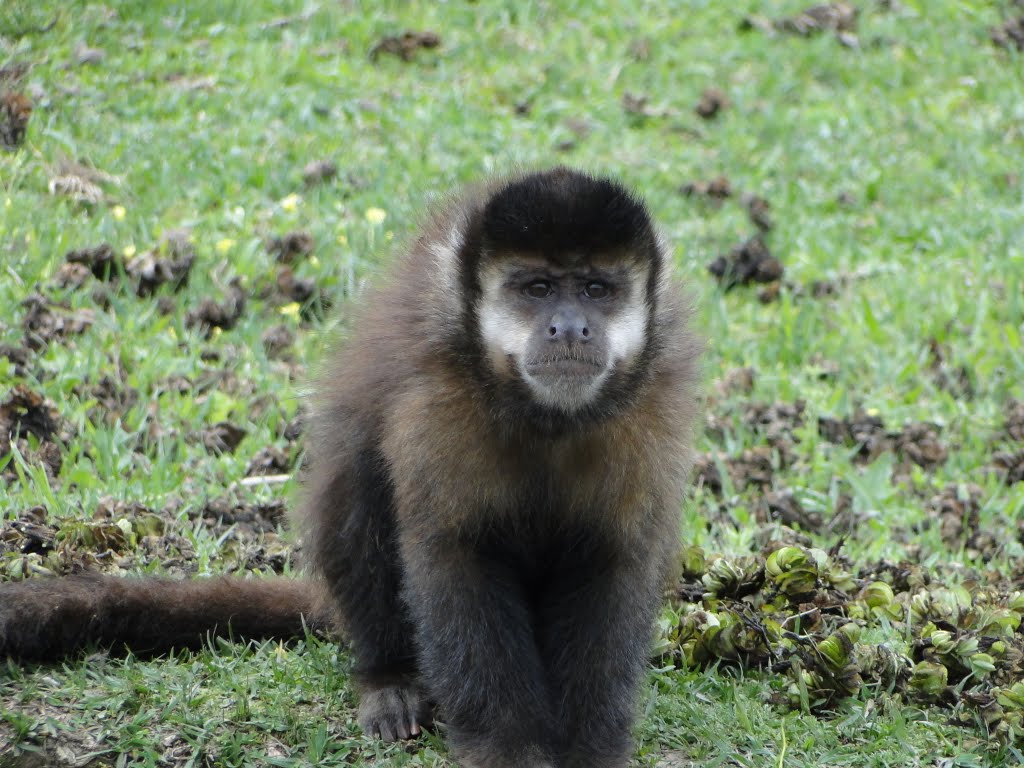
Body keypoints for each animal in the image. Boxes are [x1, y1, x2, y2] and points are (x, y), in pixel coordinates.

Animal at [0, 167, 696, 768]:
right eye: (539, 290)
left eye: (597, 290)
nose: (570, 328)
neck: (543, 415)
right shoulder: (439, 394)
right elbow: (453, 556)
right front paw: (509, 748)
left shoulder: (649, 407)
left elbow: (614, 562)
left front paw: (588, 749)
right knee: (358, 486)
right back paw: (387, 674)